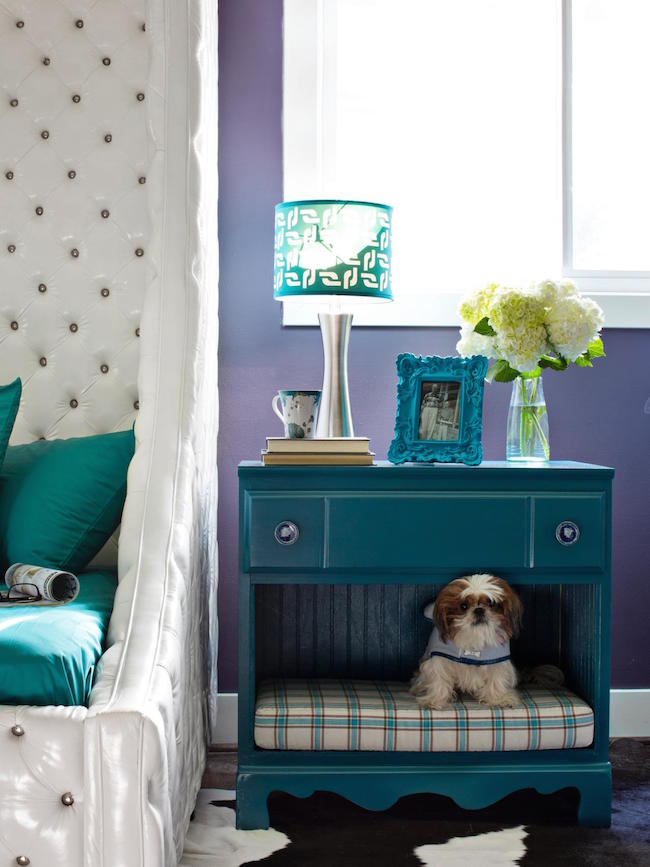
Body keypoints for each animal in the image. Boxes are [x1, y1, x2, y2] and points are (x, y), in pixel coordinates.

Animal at [410, 572, 520, 708]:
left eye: (491, 604)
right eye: (463, 606)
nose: (479, 609)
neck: (474, 637)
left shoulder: (497, 662)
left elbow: (496, 679)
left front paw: (497, 699)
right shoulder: (438, 660)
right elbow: (439, 678)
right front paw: (434, 700)